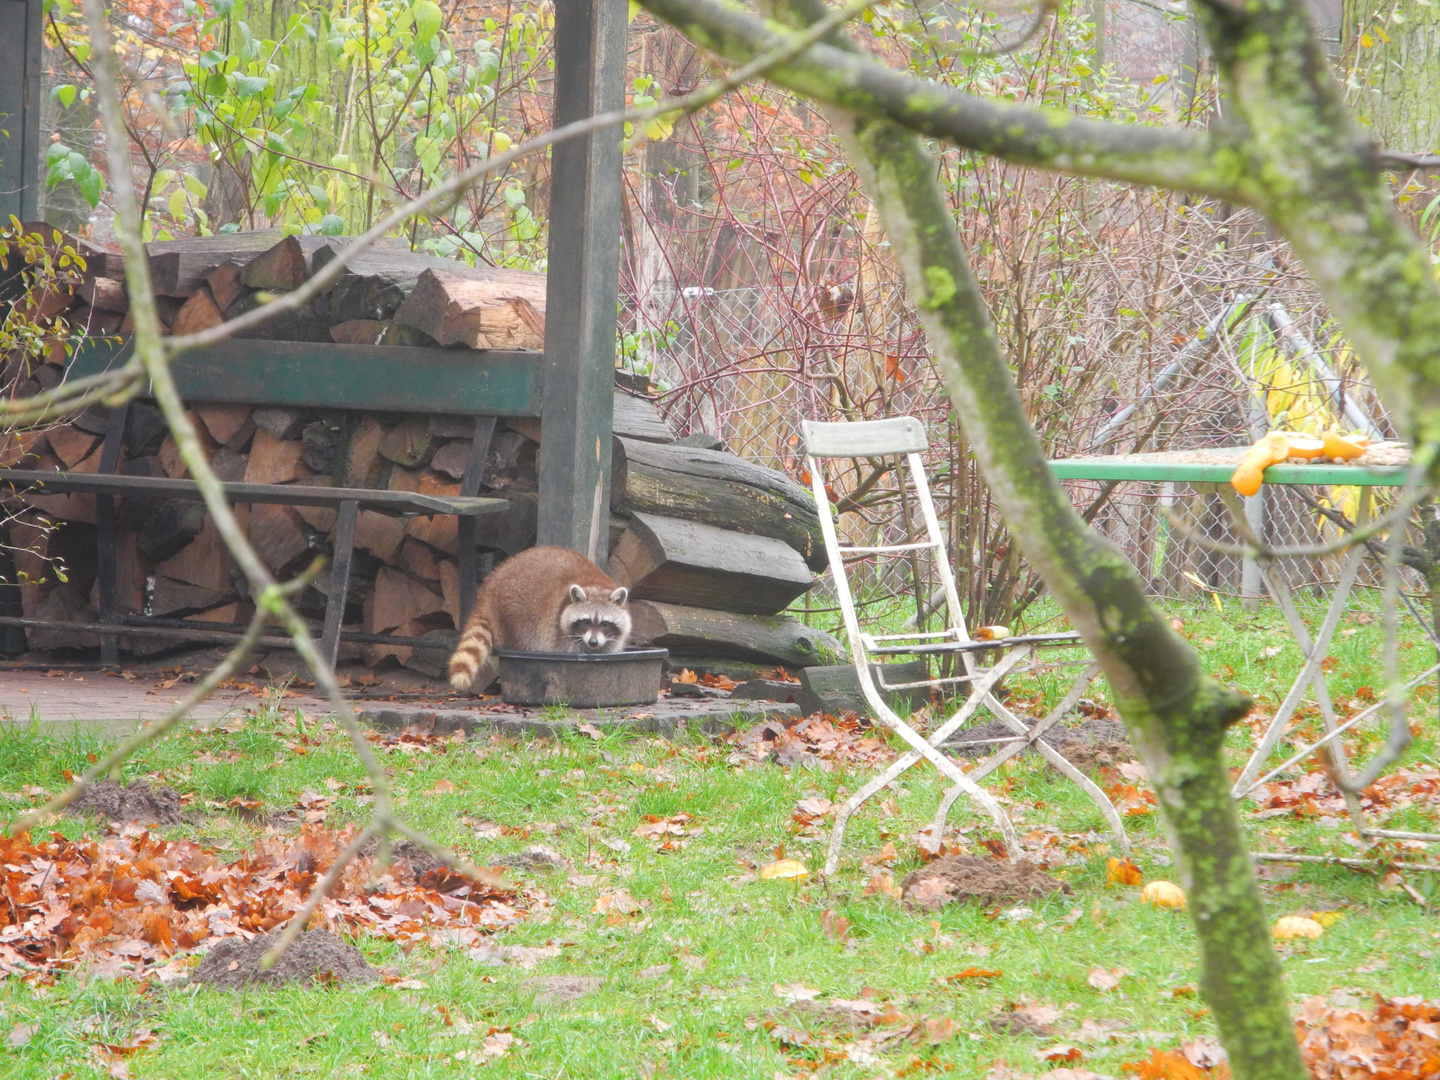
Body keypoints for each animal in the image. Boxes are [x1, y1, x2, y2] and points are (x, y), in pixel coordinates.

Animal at [446, 550, 633, 694]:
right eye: (586, 621)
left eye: (605, 623)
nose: (593, 642)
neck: (595, 585)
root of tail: (486, 591)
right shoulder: (557, 632)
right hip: (513, 616)